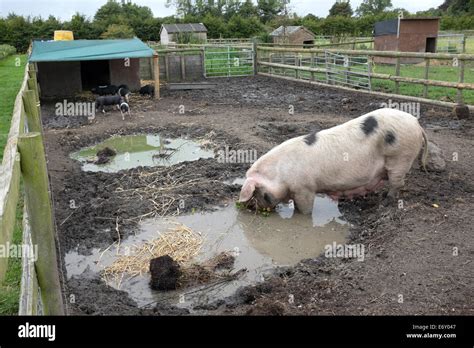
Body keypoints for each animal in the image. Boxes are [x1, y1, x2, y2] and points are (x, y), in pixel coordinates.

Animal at [239, 107, 428, 213]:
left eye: (256, 192)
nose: (252, 208)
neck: (279, 173)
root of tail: (417, 123)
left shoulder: (305, 188)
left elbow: (304, 209)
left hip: (400, 157)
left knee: (397, 183)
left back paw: (386, 201)